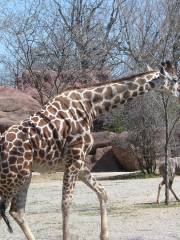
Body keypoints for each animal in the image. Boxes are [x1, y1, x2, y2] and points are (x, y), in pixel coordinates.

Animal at [0, 61, 179, 239]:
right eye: (175, 79)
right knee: (10, 210)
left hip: (25, 175)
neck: (91, 106)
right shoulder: (74, 157)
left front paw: (104, 235)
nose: (178, 93)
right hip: (13, 177)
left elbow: (102, 192)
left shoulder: (78, 162)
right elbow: (66, 203)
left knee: (16, 211)